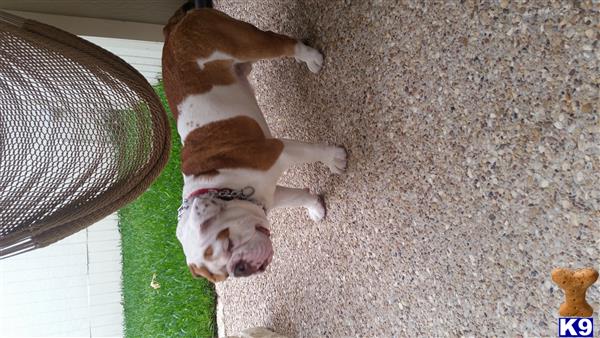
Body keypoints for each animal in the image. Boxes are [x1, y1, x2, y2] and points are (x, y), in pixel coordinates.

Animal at [162, 3, 346, 282]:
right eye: (223, 276)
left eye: (228, 243)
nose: (239, 269)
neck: (223, 186)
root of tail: (175, 27)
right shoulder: (269, 194)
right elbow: (298, 196)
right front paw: (315, 208)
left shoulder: (279, 150)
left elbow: (313, 151)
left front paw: (334, 158)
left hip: (246, 43)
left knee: (286, 44)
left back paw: (311, 58)